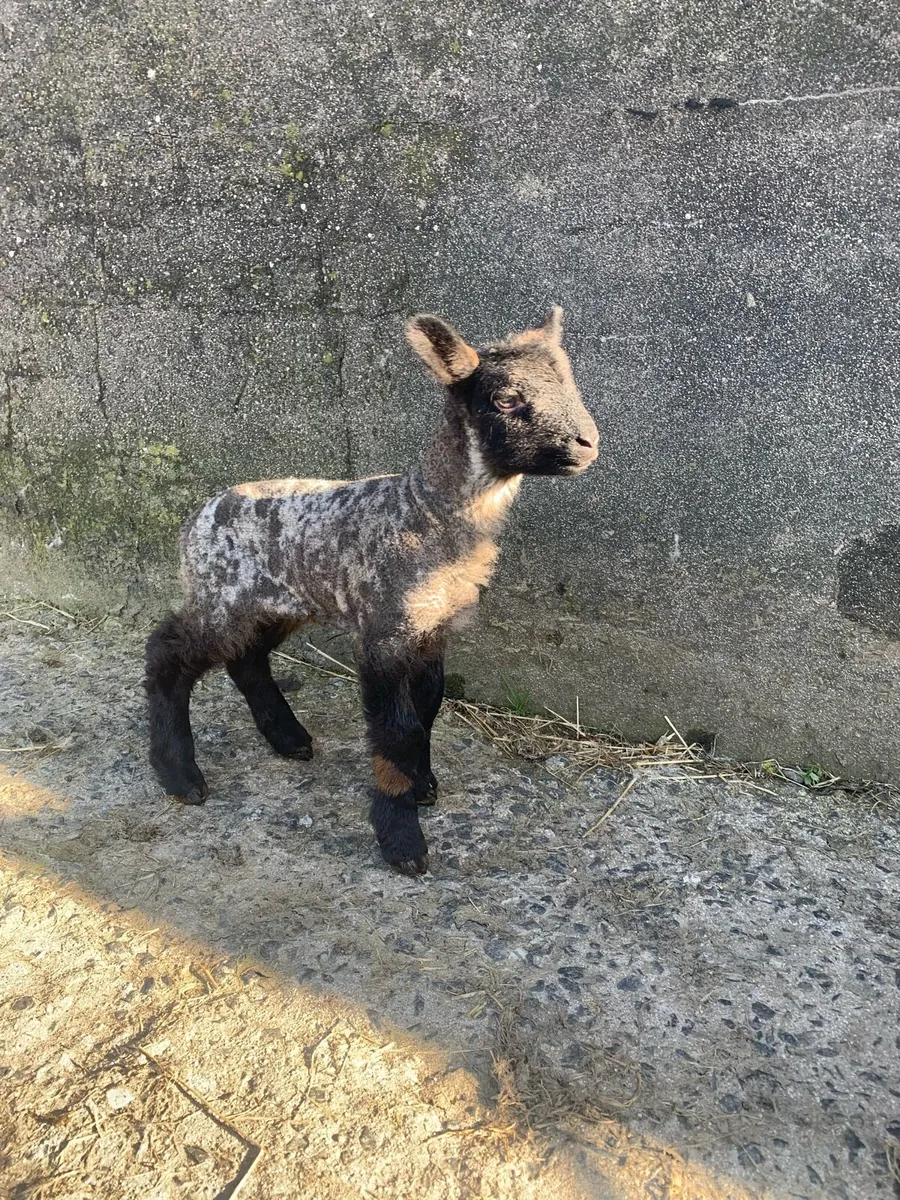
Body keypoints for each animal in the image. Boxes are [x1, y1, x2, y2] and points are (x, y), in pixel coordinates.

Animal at [145, 307, 598, 874]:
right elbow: (395, 732)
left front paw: (423, 785)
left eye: (570, 383)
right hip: (222, 594)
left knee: (246, 659)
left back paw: (289, 740)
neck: (426, 510)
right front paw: (402, 839)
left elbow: (427, 708)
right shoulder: (386, 629)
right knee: (167, 652)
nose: (588, 442)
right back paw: (180, 775)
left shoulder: (431, 625)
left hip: (277, 599)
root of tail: (194, 521)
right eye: (506, 399)